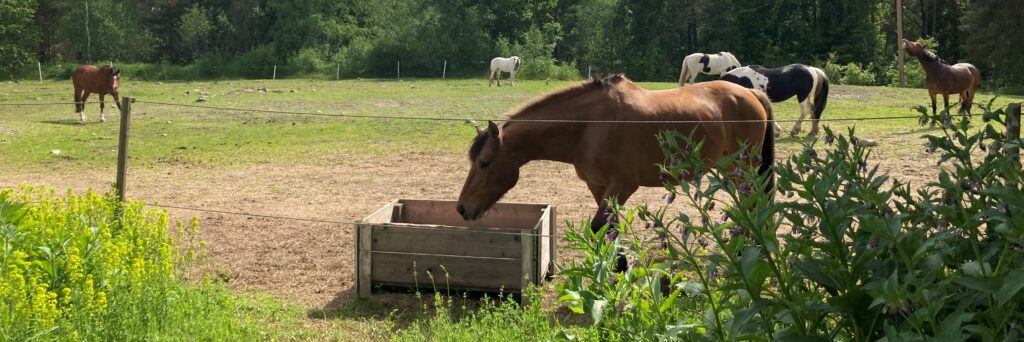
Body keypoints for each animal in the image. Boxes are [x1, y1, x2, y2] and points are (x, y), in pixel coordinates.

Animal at [458, 74, 774, 229]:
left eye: (484, 163)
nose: (462, 208)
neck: (589, 126)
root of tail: (751, 93)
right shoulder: (598, 187)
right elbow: (611, 229)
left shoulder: (622, 186)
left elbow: (600, 227)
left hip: (742, 170)